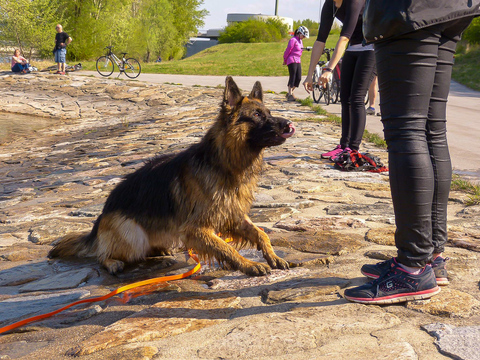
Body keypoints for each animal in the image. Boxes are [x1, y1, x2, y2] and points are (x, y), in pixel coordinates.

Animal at [49, 76, 296, 276]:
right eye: (257, 115)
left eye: (269, 113)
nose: (289, 124)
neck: (223, 162)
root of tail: (99, 219)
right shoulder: (196, 230)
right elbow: (226, 248)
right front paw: (248, 264)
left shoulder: (233, 215)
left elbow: (261, 234)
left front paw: (273, 256)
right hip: (133, 236)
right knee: (102, 255)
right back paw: (111, 262)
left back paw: (160, 250)